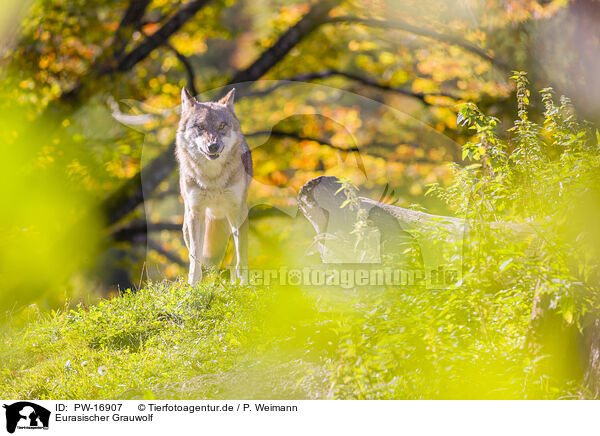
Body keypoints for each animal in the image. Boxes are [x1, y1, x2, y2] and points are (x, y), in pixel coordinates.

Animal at [178, 87, 253, 286]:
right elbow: (195, 257)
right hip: (189, 224)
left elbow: (242, 255)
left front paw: (245, 285)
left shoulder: (238, 210)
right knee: (194, 255)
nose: (213, 146)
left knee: (234, 258)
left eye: (222, 126)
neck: (213, 178)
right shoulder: (196, 212)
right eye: (200, 127)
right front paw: (193, 286)